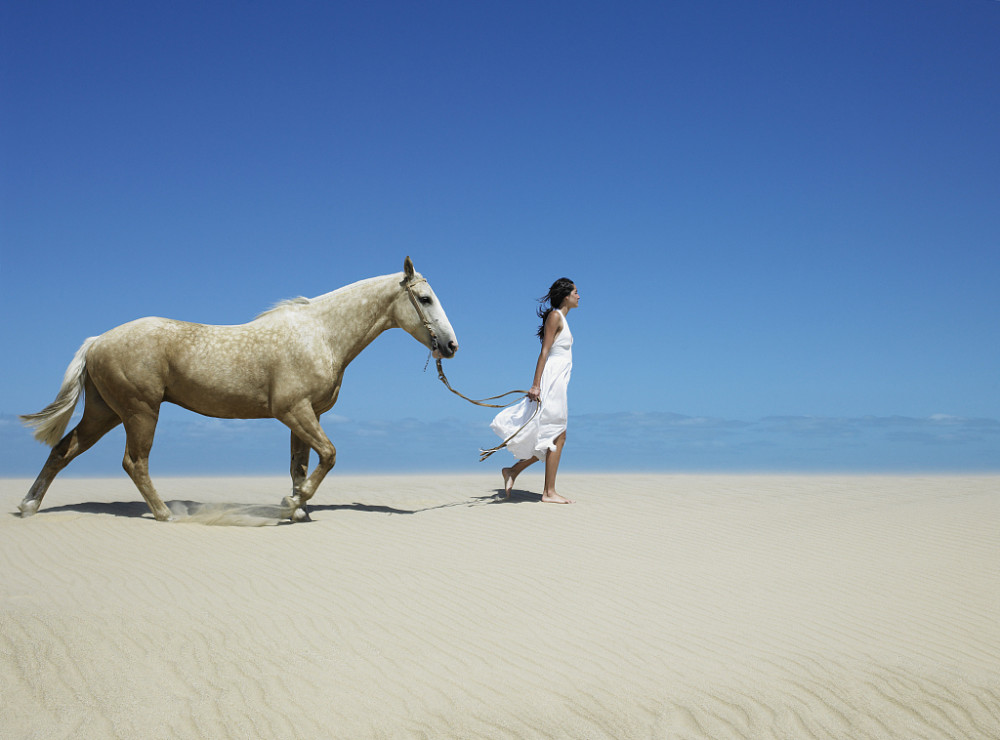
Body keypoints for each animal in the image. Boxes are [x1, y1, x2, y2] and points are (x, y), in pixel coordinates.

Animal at [19, 258, 458, 524]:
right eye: (424, 298)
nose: (452, 346)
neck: (320, 334)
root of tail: (97, 341)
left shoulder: (305, 415)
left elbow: (300, 465)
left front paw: (296, 509)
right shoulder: (293, 411)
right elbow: (329, 455)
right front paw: (293, 504)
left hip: (105, 412)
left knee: (63, 450)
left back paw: (28, 505)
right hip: (140, 411)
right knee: (134, 463)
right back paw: (165, 513)